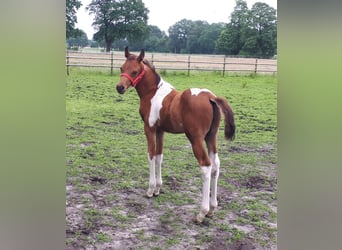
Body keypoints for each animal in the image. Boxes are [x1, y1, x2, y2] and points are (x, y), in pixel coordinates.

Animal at [115, 47, 235, 224]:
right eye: (122, 68)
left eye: (135, 71)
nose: (120, 87)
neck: (152, 92)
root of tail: (211, 98)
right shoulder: (160, 130)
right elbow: (159, 156)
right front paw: (158, 189)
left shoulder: (149, 128)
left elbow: (151, 155)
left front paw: (150, 189)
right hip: (211, 137)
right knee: (216, 165)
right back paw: (212, 208)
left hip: (195, 138)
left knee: (206, 166)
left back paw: (202, 213)